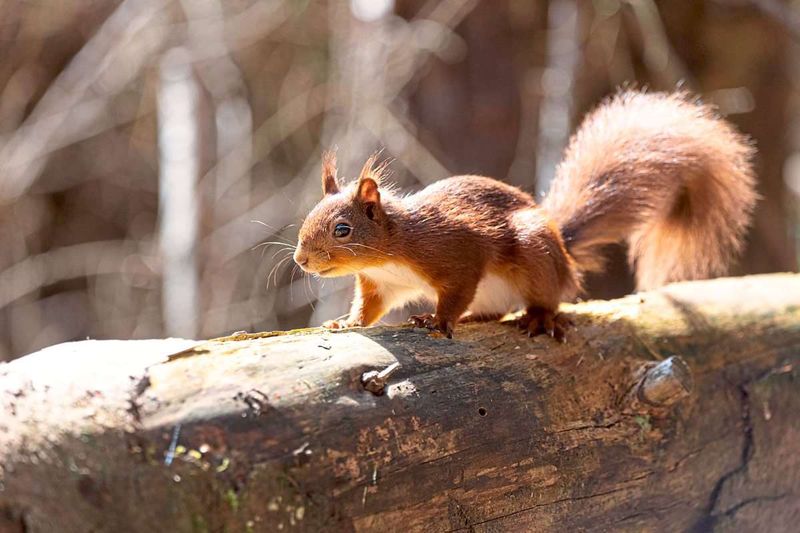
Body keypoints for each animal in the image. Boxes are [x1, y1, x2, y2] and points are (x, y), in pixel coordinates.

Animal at [292, 89, 756, 338]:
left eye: (342, 229)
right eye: (308, 217)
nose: (301, 260)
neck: (392, 252)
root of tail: (564, 252)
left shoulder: (456, 254)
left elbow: (455, 291)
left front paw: (438, 321)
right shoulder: (381, 285)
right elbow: (369, 310)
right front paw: (344, 324)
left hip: (535, 254)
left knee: (549, 296)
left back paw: (538, 317)